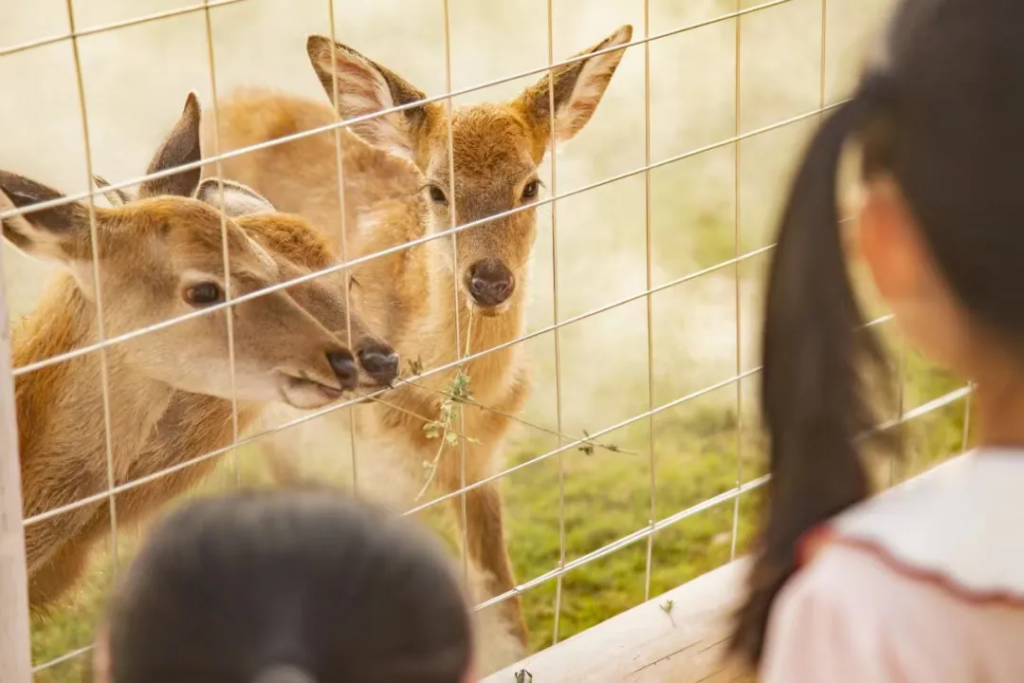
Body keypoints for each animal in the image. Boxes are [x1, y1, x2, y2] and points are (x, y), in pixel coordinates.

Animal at [199, 25, 630, 667]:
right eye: (436, 191)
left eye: (531, 185)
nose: (490, 280)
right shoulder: (386, 459)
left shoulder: (481, 461)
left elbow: (500, 594)